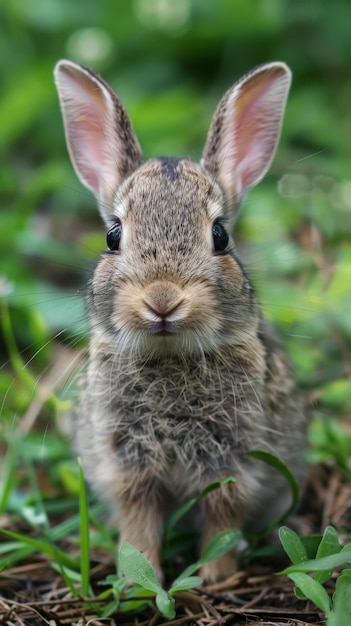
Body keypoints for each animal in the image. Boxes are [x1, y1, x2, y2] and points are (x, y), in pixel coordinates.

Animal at [53, 59, 306, 580]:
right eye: (112, 236)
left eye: (220, 235)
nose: (163, 299)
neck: (170, 355)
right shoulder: (128, 461)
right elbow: (139, 520)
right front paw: (141, 575)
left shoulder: (233, 459)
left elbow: (223, 515)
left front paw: (217, 577)